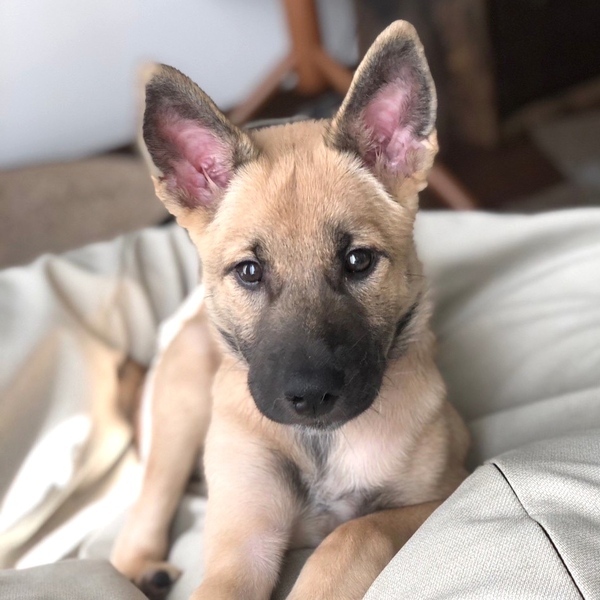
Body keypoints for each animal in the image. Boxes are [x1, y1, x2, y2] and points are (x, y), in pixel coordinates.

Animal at [111, 20, 469, 600]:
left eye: (358, 260)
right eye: (249, 272)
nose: (311, 397)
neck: (323, 444)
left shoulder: (446, 490)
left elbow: (354, 533)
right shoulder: (241, 544)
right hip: (180, 410)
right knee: (145, 507)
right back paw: (142, 565)